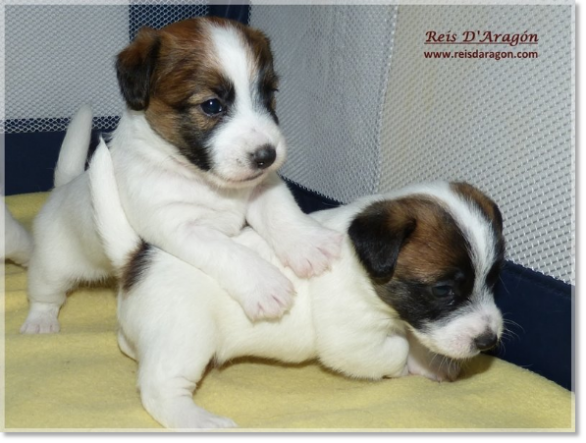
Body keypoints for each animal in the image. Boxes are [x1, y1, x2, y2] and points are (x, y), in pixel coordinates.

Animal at [21, 18, 342, 336]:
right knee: (45, 294)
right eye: (212, 105)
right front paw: (264, 283)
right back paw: (40, 322)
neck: (205, 180)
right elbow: (228, 251)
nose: (267, 156)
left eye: (269, 94)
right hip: (52, 267)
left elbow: (280, 211)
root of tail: (62, 188)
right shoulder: (180, 228)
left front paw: (310, 244)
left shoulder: (261, 186)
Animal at [89, 142, 504, 430]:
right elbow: (394, 352)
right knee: (158, 389)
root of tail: (137, 258)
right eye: (442, 290)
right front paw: (408, 366)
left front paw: (430, 361)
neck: (362, 268)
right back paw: (199, 421)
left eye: (494, 278)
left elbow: (417, 338)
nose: (488, 341)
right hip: (186, 338)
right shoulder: (352, 341)